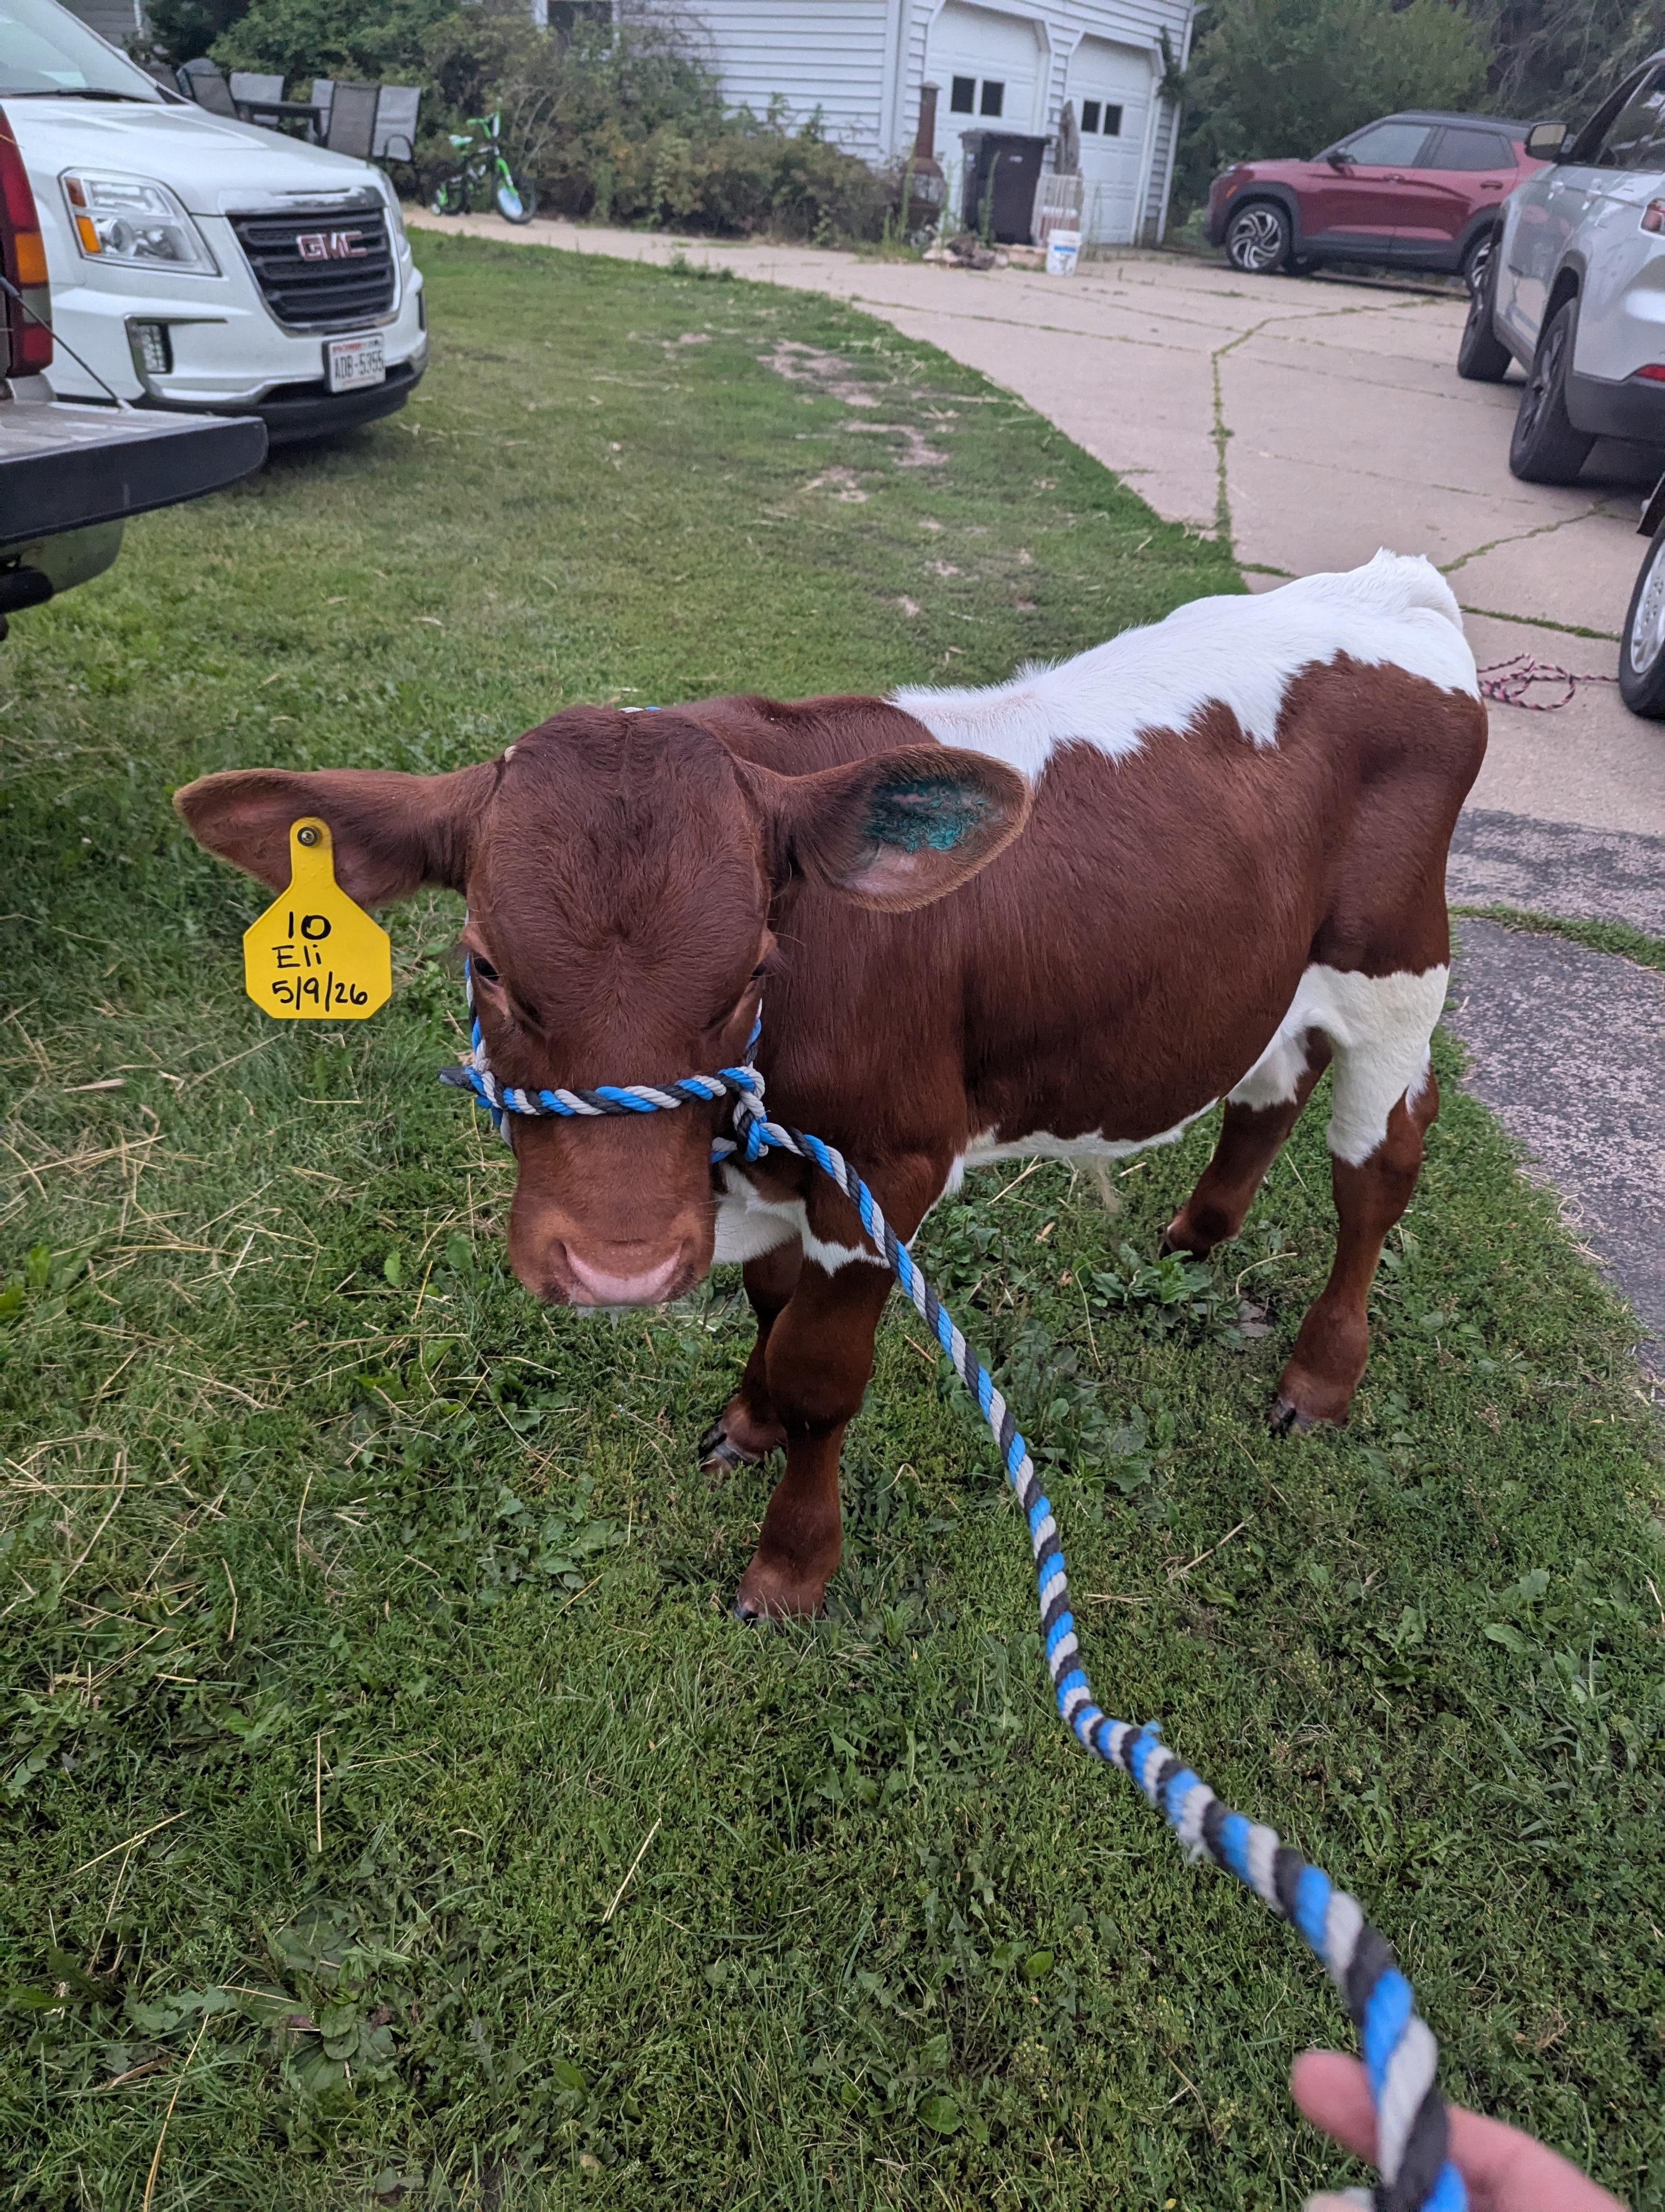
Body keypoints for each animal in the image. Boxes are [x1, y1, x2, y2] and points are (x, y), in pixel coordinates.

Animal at [178, 551, 1486, 1621]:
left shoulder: (880, 1173)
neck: (741, 1136)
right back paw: (1194, 1236)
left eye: (756, 964)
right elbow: (765, 1305)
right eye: (485, 962)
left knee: (1377, 1168)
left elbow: (821, 1373)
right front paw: (744, 1418)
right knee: (1269, 1080)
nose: (615, 1269)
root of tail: (1388, 590)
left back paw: (1319, 1375)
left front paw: (789, 1565)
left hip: (1396, 970)